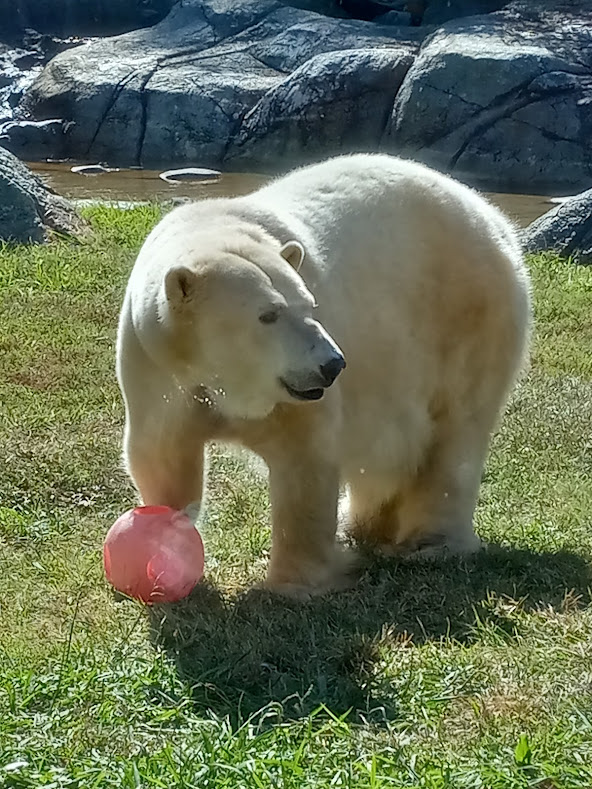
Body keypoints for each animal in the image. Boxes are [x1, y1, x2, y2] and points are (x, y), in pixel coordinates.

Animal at [116, 153, 531, 597]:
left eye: (309, 304)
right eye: (269, 314)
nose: (332, 364)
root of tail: (495, 219)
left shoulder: (295, 399)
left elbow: (305, 462)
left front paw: (294, 584)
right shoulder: (158, 365)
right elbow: (163, 454)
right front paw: (163, 549)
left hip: (465, 316)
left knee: (455, 433)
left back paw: (430, 543)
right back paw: (362, 524)